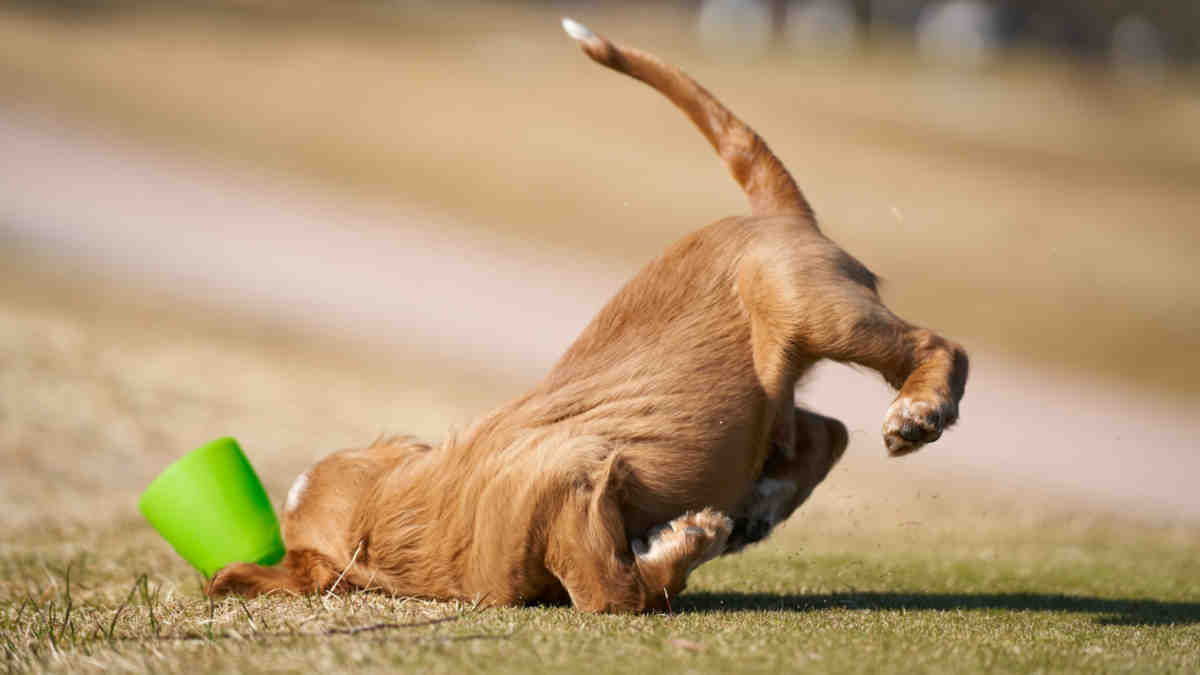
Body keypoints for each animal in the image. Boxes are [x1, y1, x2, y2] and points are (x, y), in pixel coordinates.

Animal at [204, 19, 964, 610]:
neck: (393, 516)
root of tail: (770, 216)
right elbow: (612, 579)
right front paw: (692, 538)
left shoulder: (574, 476)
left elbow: (605, 587)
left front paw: (689, 538)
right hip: (774, 389)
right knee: (824, 432)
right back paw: (763, 504)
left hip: (817, 308)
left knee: (938, 349)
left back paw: (917, 414)